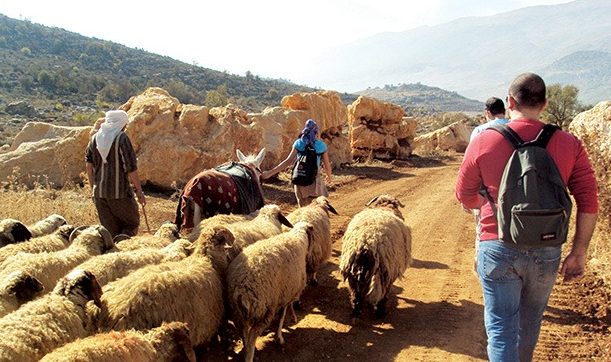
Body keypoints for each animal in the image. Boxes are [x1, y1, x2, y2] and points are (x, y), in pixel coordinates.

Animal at [228, 221, 316, 362]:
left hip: (238, 314)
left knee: (243, 334)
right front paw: (279, 337)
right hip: (264, 309)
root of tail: (241, 289)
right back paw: (250, 356)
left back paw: (247, 350)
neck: (299, 239)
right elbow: (281, 317)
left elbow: (287, 310)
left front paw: (293, 317)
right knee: (252, 337)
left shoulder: (285, 291)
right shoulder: (285, 294)